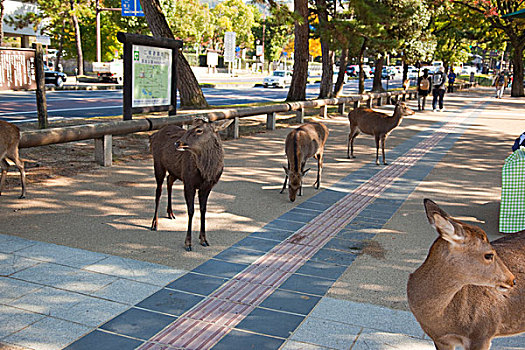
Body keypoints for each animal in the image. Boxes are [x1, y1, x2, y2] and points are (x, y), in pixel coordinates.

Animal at [148, 118, 232, 252]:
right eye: (190, 127)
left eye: (199, 130)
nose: (177, 143)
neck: (206, 172)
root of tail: (153, 135)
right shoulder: (188, 182)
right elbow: (191, 211)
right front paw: (188, 243)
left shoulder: (207, 187)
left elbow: (203, 210)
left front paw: (203, 239)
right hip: (158, 163)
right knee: (158, 191)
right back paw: (154, 223)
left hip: (175, 171)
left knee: (169, 180)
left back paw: (170, 213)